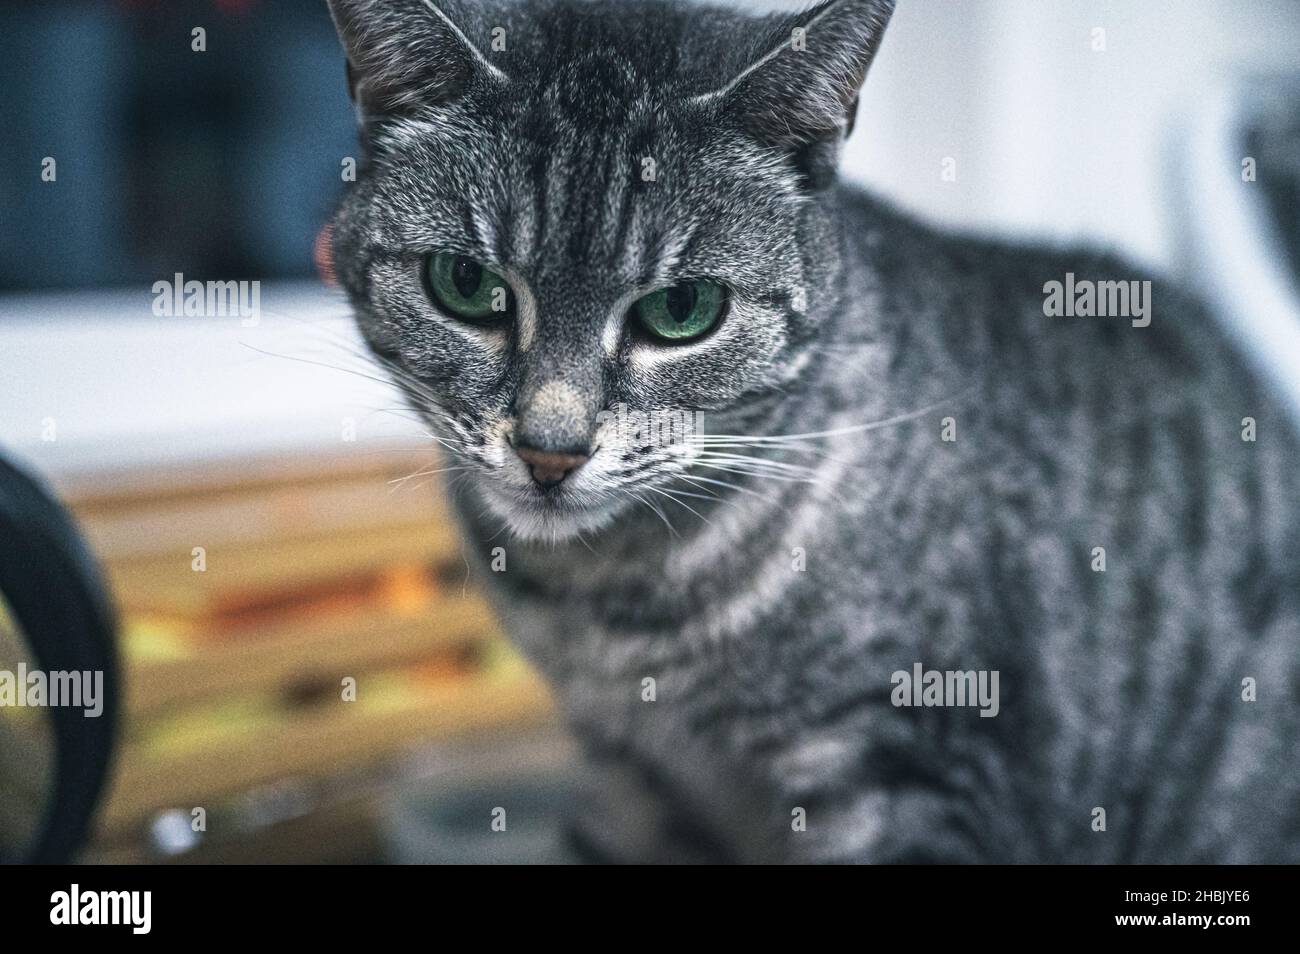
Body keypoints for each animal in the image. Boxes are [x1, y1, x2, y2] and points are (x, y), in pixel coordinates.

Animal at [327, 0, 1300, 868]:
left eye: (683, 309)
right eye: (464, 284)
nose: (549, 450)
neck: (615, 609)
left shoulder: (906, 772)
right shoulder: (629, 784)